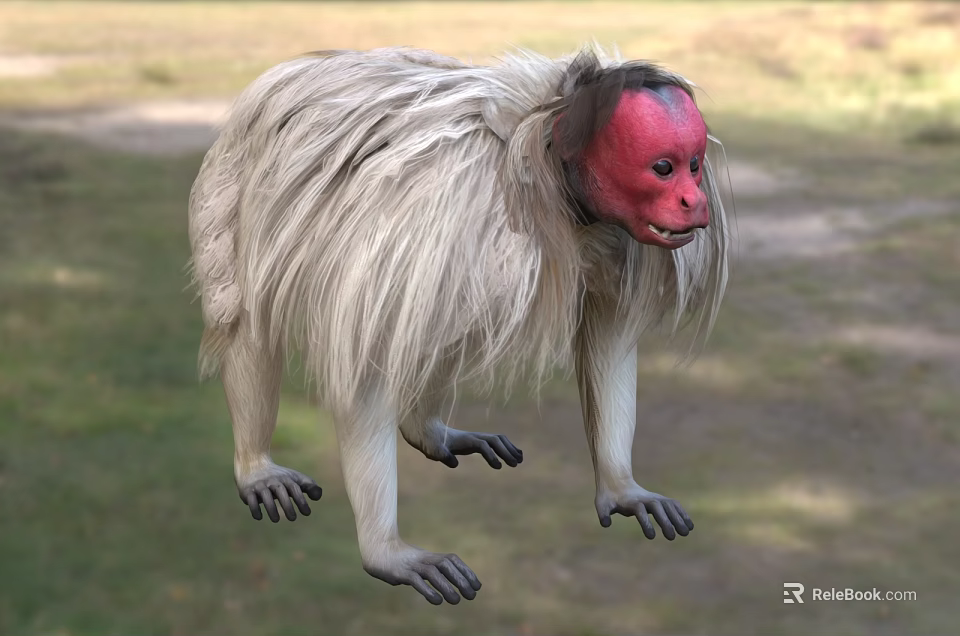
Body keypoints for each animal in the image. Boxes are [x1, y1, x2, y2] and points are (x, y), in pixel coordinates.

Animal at [187, 45, 730, 606]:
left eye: (694, 166)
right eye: (663, 168)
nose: (695, 202)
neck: (548, 159)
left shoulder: (616, 236)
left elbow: (609, 342)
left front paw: (622, 488)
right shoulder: (444, 210)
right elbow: (365, 364)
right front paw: (385, 553)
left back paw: (427, 432)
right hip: (238, 175)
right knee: (249, 316)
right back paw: (256, 466)